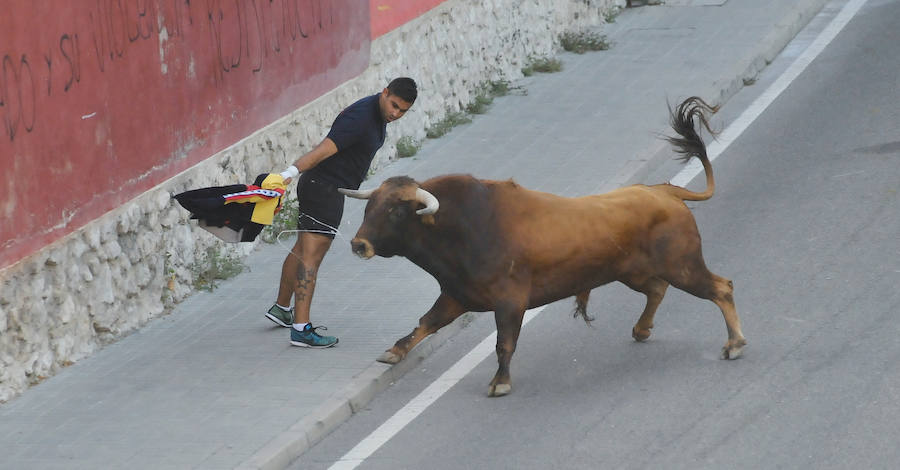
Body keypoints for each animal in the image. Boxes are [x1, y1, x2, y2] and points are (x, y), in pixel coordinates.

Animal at [340, 96, 744, 396]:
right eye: (369, 206)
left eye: (395, 211)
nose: (359, 244)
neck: (464, 228)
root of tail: (664, 192)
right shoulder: (456, 294)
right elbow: (426, 323)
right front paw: (393, 352)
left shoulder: (510, 301)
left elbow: (504, 342)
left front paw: (500, 382)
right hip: (632, 271)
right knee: (658, 290)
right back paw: (642, 330)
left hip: (683, 265)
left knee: (721, 288)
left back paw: (734, 344)